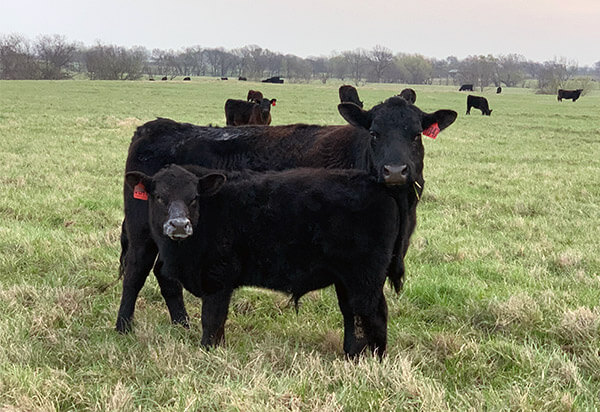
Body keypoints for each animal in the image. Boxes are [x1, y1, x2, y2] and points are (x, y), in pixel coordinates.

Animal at [115, 97, 458, 334]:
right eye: (374, 133)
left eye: (416, 135)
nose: (396, 170)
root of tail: (155, 127)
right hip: (142, 231)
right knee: (135, 271)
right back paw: (123, 327)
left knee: (163, 273)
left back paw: (182, 324)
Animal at [126, 164, 408, 358]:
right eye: (159, 197)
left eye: (194, 198)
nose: (179, 225)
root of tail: (377, 183)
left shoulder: (218, 278)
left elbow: (212, 319)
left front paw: (208, 351)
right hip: (347, 280)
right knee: (352, 313)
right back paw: (350, 355)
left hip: (365, 278)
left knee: (374, 313)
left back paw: (375, 358)